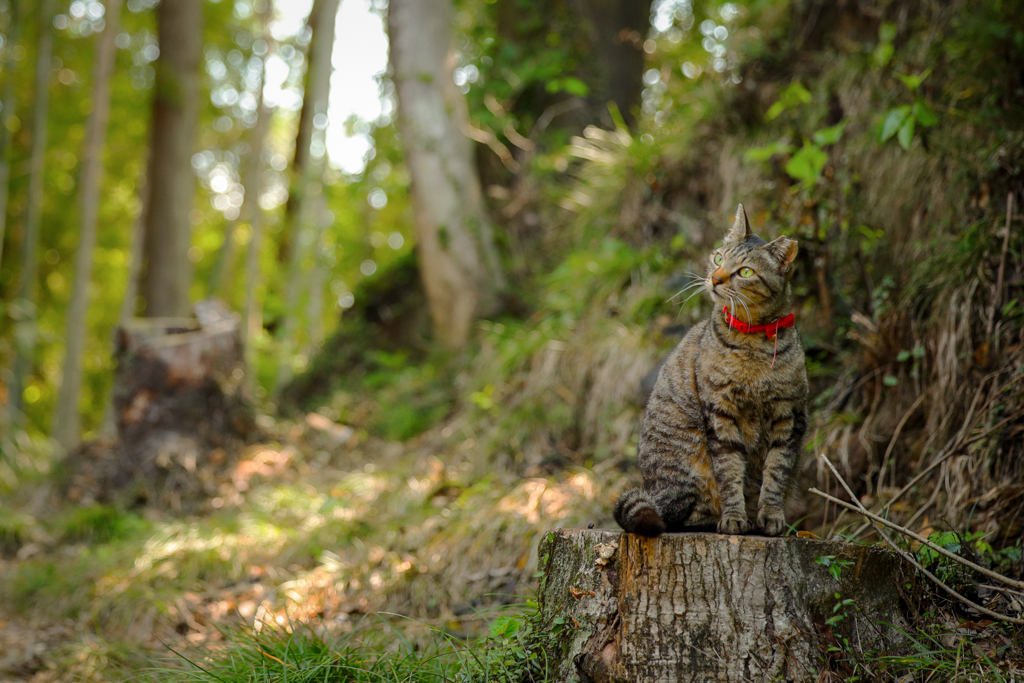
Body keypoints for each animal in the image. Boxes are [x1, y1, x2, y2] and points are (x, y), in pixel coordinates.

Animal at [614, 205, 806, 536]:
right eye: (718, 258)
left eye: (745, 272)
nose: (715, 279)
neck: (752, 340)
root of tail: (651, 488)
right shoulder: (720, 414)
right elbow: (730, 473)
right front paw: (734, 518)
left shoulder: (789, 417)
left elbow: (776, 474)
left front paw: (770, 516)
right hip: (684, 467)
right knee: (671, 515)